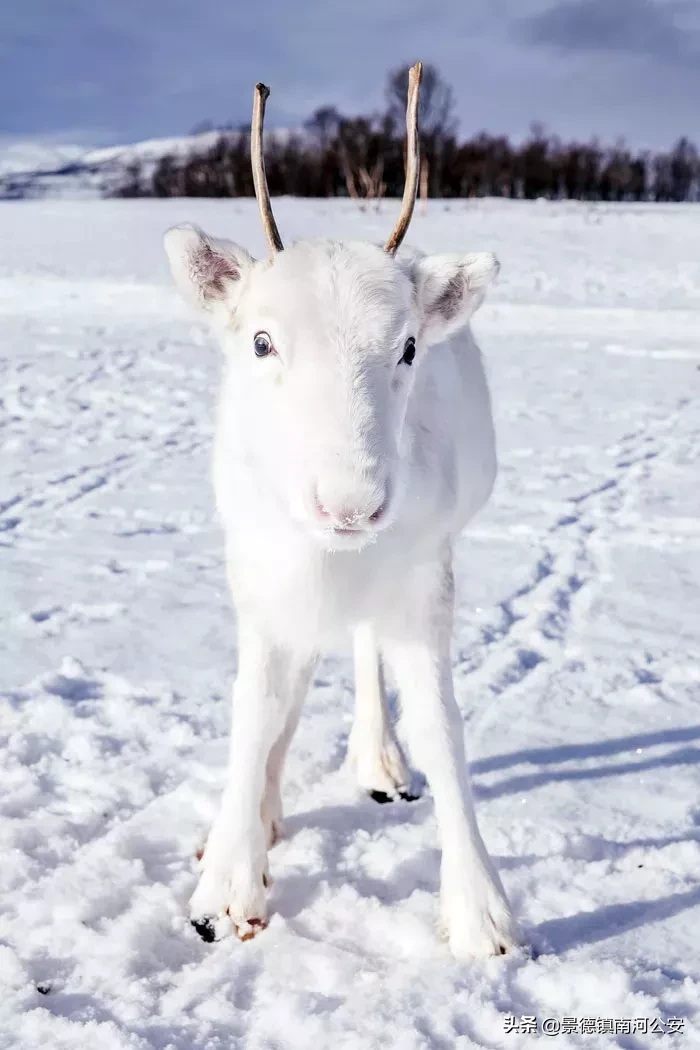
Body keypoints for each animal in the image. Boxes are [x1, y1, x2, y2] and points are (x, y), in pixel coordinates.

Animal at [165, 61, 520, 957]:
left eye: (408, 346)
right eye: (261, 340)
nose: (352, 503)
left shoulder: (424, 577)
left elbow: (441, 725)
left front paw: (482, 913)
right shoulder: (259, 572)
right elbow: (257, 707)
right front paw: (228, 880)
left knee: (361, 653)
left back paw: (377, 762)